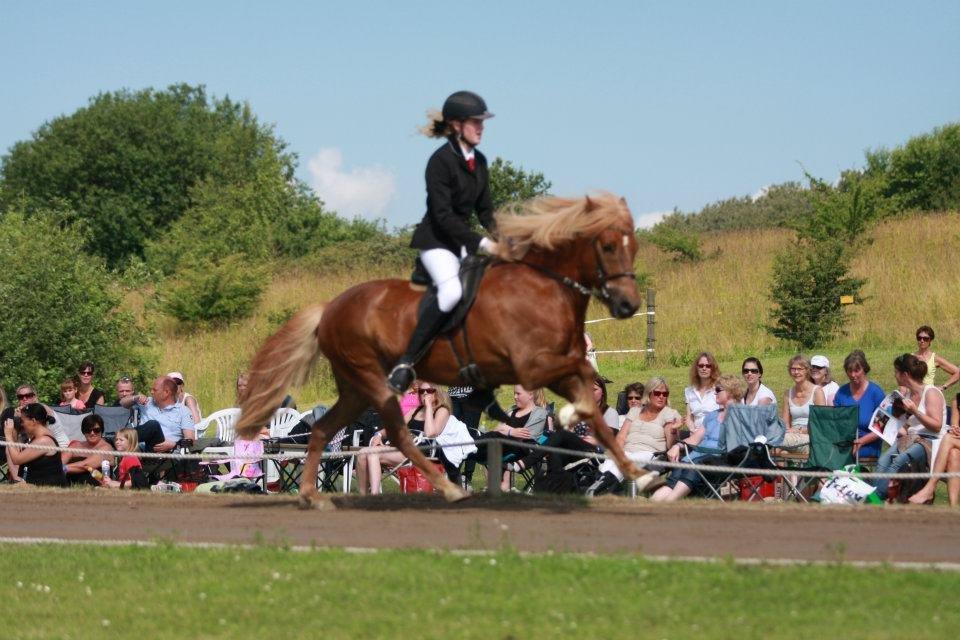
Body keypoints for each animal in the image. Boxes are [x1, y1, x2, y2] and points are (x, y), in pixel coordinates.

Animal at [234, 192, 644, 508]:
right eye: (608, 246)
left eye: (634, 247)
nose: (629, 305)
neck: (544, 286)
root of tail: (330, 307)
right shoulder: (533, 366)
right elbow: (585, 379)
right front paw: (572, 416)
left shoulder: (551, 368)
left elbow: (593, 401)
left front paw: (638, 474)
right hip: (373, 381)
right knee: (399, 434)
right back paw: (449, 488)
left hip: (355, 389)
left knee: (321, 430)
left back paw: (312, 496)